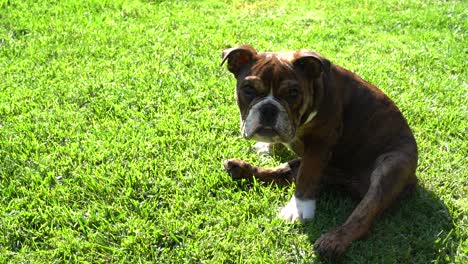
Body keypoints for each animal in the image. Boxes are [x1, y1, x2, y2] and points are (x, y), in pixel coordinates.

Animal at [221, 45, 418, 258]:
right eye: (248, 90)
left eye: (293, 93)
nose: (268, 108)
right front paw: (269, 146)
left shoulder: (319, 145)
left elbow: (306, 179)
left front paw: (298, 210)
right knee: (281, 172)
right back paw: (240, 168)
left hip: (392, 165)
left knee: (364, 213)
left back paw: (334, 240)